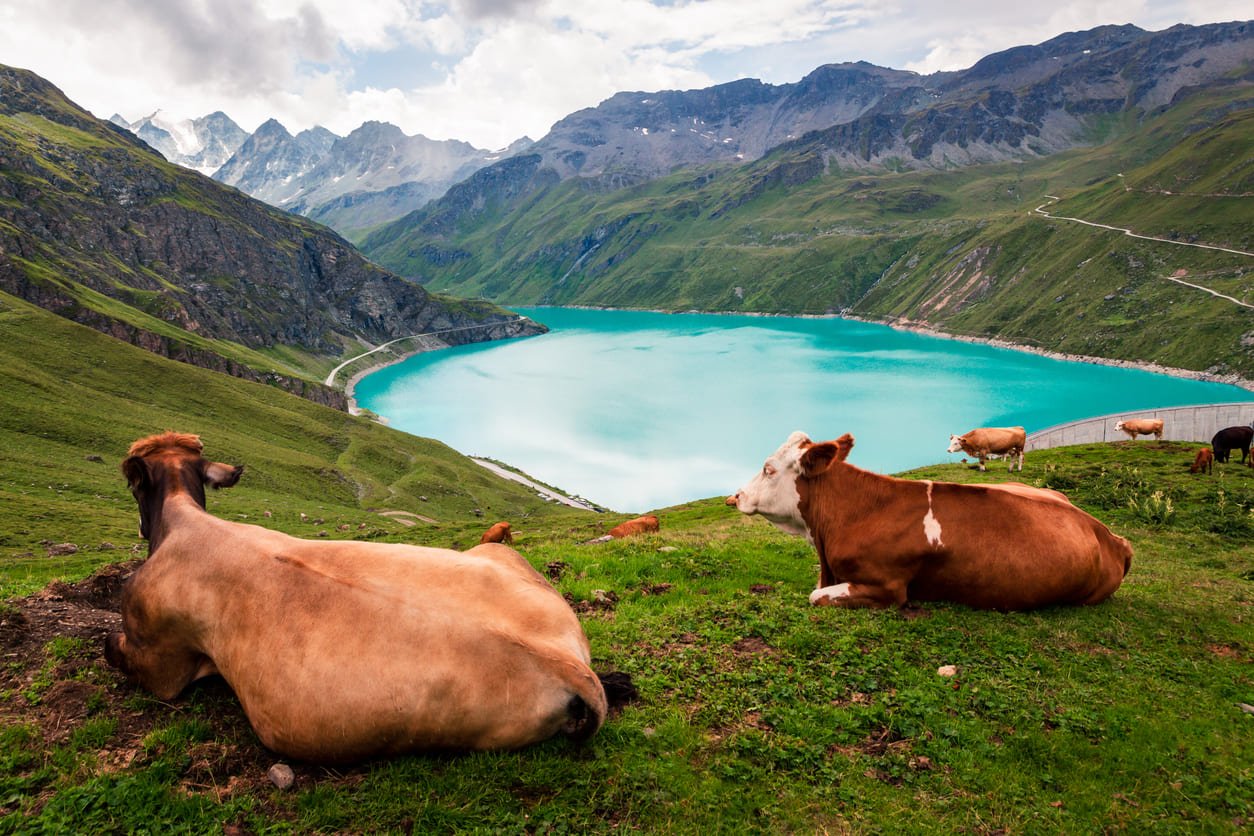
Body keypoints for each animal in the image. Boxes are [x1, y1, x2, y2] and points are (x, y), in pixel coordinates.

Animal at [105, 432, 613, 762]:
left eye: (131, 485)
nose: (140, 526)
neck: (184, 523)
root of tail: (563, 662)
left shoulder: (157, 660)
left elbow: (114, 648)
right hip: (496, 552)